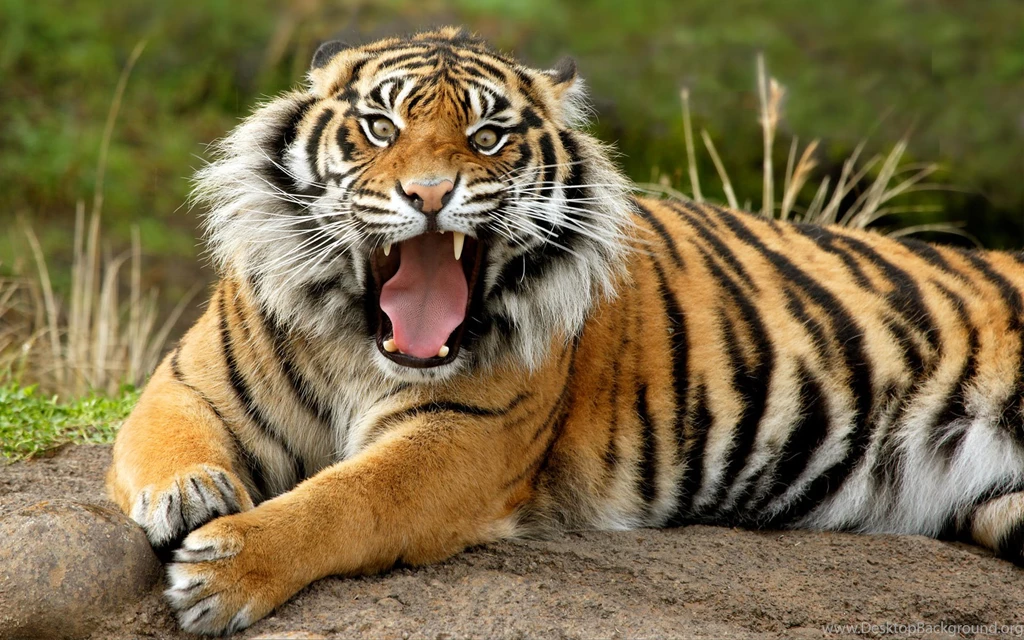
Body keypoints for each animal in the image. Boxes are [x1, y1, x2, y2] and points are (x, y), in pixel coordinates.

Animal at [106, 26, 1024, 635]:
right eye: (381, 127)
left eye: (487, 136)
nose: (429, 194)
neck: (357, 341)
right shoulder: (189, 382)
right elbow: (167, 441)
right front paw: (189, 495)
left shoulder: (461, 439)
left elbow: (346, 499)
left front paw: (228, 571)